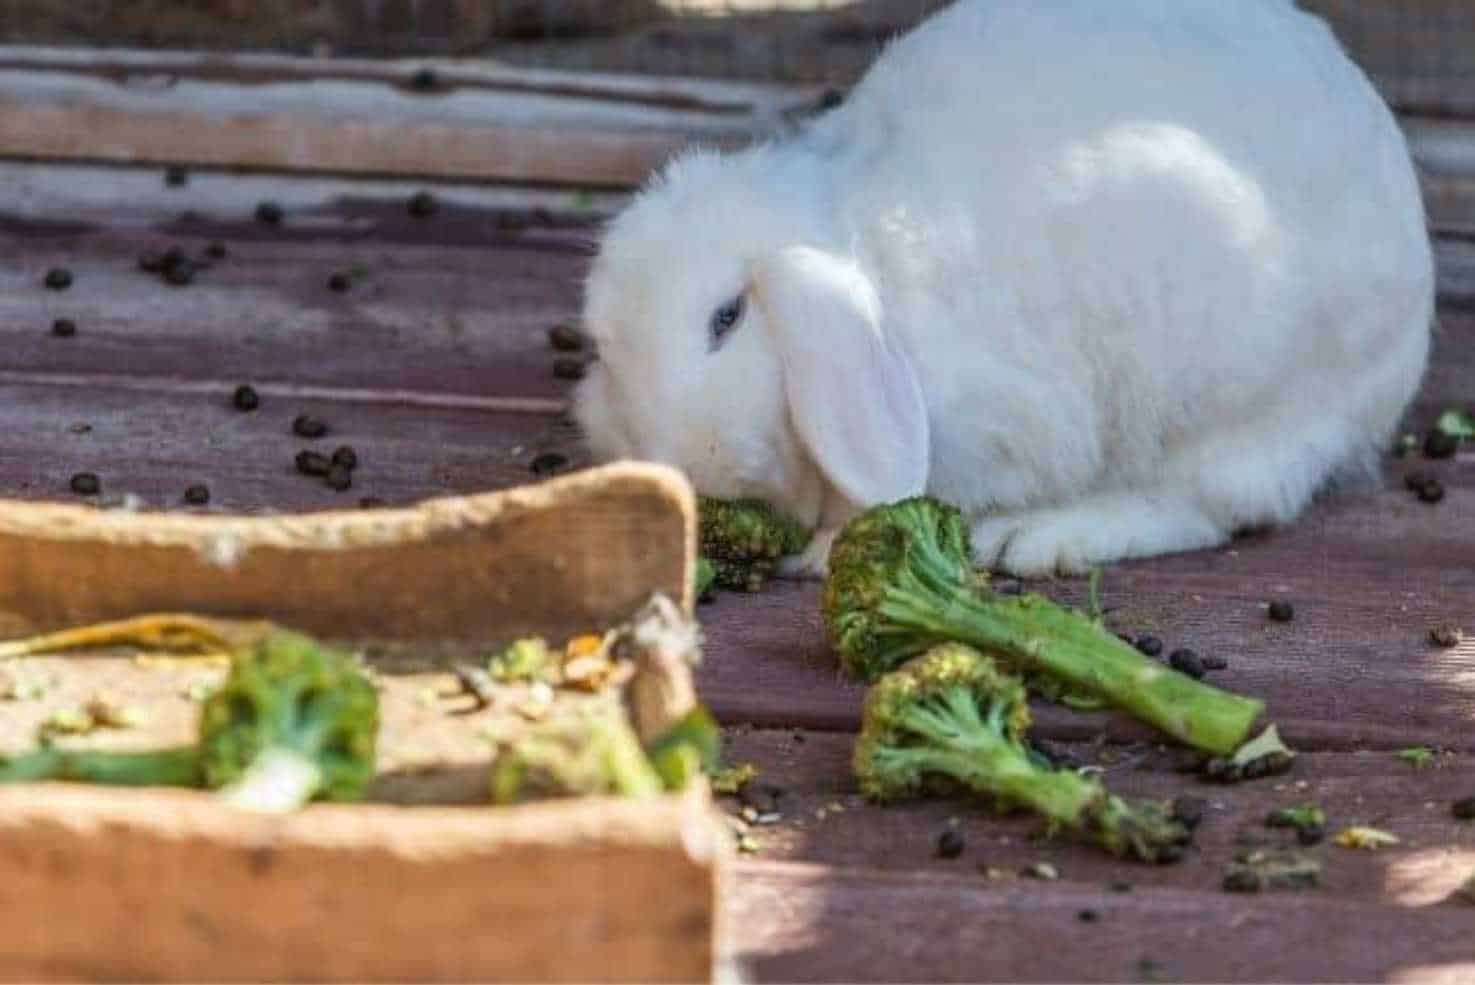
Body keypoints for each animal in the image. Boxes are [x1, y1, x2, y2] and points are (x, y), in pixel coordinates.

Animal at [572, 0, 1427, 580]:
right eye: (604, 351)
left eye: (726, 318)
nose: (676, 465)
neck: (873, 275)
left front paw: (822, 551)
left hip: (1231, 396)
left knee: (1213, 504)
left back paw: (1046, 537)